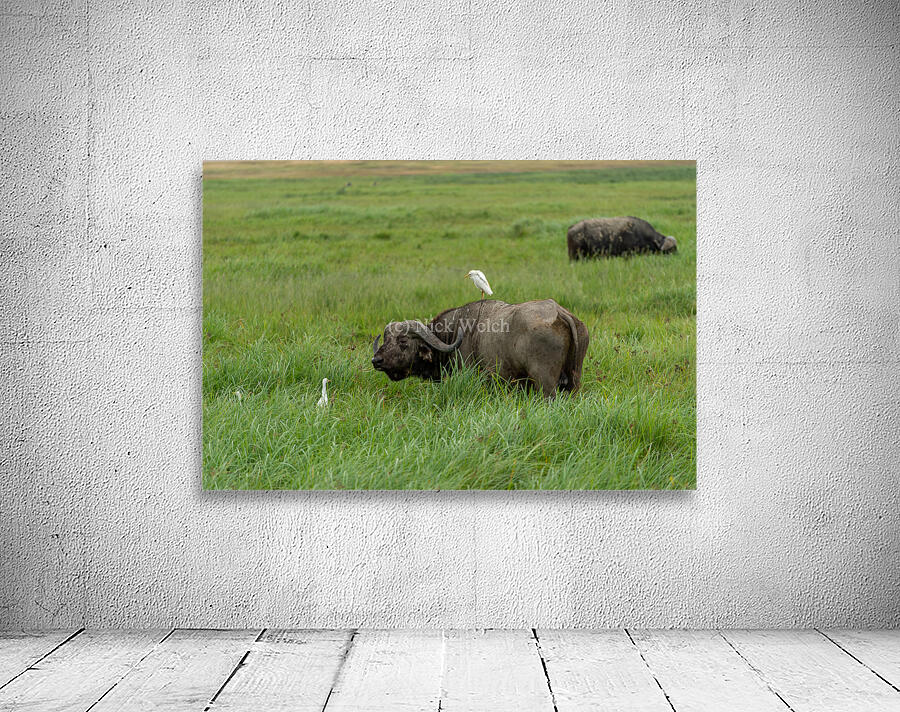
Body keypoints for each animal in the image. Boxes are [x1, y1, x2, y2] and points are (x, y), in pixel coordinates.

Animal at [372, 299, 589, 399]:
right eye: (386, 339)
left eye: (403, 341)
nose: (376, 360)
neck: (453, 335)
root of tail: (559, 312)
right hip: (573, 381)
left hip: (545, 383)